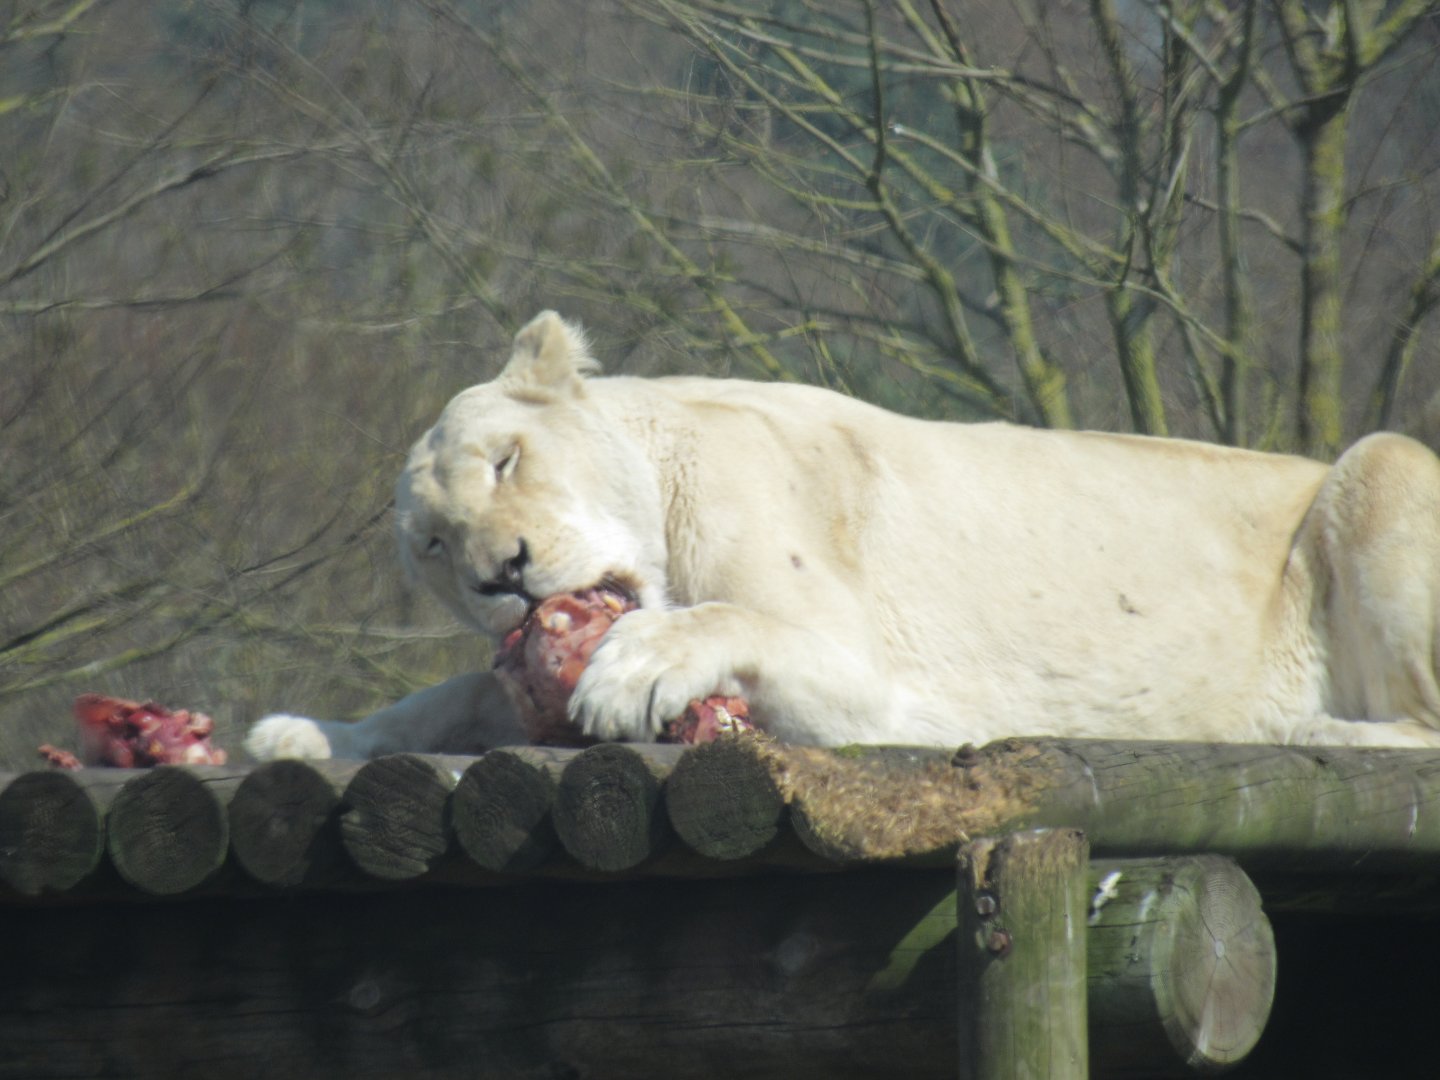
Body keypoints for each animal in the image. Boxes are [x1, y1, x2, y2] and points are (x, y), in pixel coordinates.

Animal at [246, 310, 1440, 761]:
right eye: (434, 547)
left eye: (505, 461)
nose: (506, 572)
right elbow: (456, 695)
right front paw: (300, 734)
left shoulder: (899, 688)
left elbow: (746, 623)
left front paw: (632, 673)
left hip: (1382, 469)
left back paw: (1301, 726)